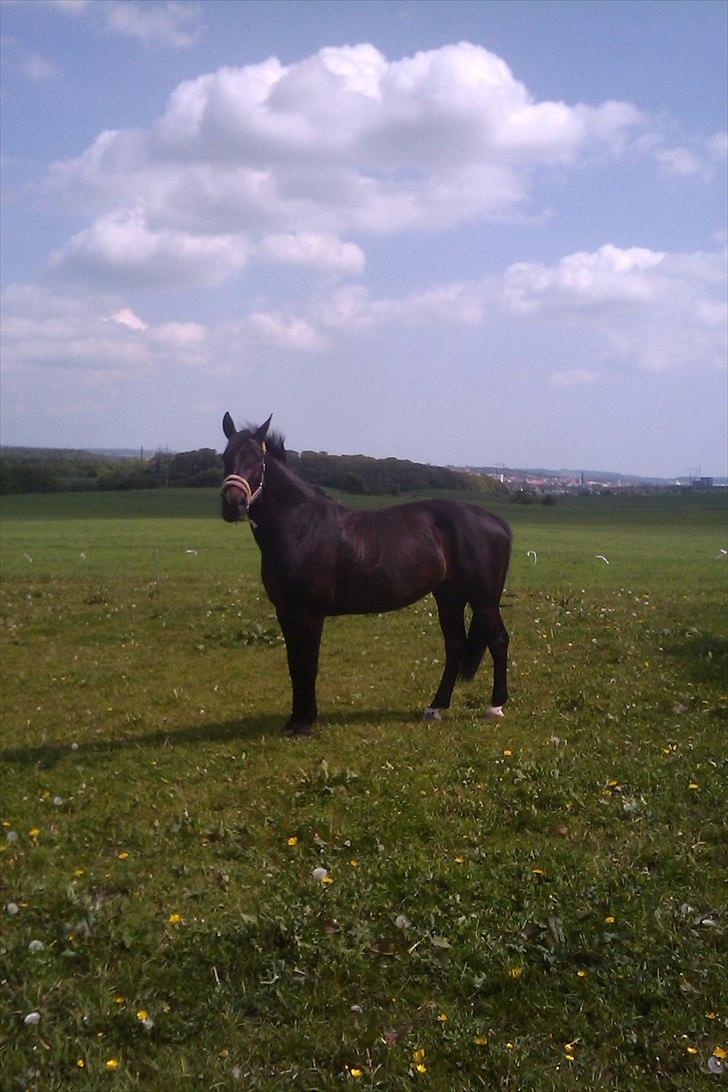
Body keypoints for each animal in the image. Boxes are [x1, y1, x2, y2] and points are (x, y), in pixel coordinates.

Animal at [222, 412, 512, 738]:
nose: (232, 504)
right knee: (456, 645)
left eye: (258, 461)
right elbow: (294, 663)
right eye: (224, 457)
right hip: (449, 596)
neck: (302, 527)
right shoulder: (286, 611)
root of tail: (497, 522)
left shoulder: (310, 613)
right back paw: (435, 707)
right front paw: (294, 721)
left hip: (483, 599)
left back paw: (495, 706)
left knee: (498, 640)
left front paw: (305, 722)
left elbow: (307, 663)